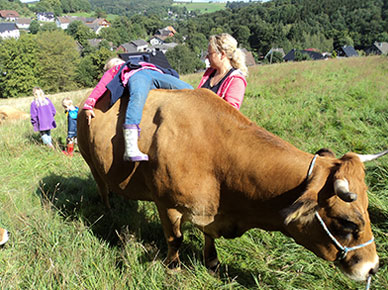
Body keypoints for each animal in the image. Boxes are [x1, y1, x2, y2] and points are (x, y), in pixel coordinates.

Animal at [77, 88, 386, 280]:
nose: (373, 268)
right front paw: (173, 267)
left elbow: (208, 237)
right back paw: (110, 212)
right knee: (102, 188)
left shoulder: (210, 210)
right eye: (347, 222)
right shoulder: (167, 204)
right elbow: (175, 238)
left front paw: (212, 263)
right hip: (90, 161)